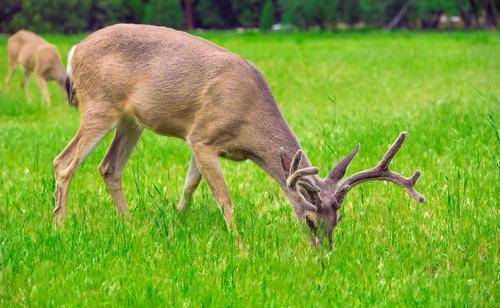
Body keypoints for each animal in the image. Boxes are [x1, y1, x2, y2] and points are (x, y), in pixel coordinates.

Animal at [55, 22, 426, 247]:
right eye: (309, 220)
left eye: (338, 219)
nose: (325, 252)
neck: (248, 122)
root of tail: (75, 50)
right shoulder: (203, 136)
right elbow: (224, 198)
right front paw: (239, 244)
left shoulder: (197, 139)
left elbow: (189, 187)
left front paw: (175, 227)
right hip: (100, 105)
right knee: (64, 162)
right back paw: (60, 226)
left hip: (131, 120)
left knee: (109, 167)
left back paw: (130, 226)